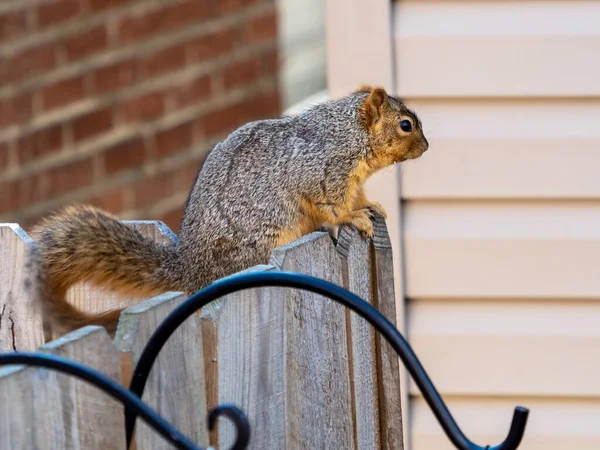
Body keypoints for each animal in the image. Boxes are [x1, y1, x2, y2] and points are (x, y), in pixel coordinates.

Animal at [27, 86, 426, 336]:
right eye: (405, 125)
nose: (425, 146)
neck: (349, 135)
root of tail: (191, 267)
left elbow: (358, 198)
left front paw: (369, 206)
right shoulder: (323, 172)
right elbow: (330, 206)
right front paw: (352, 218)